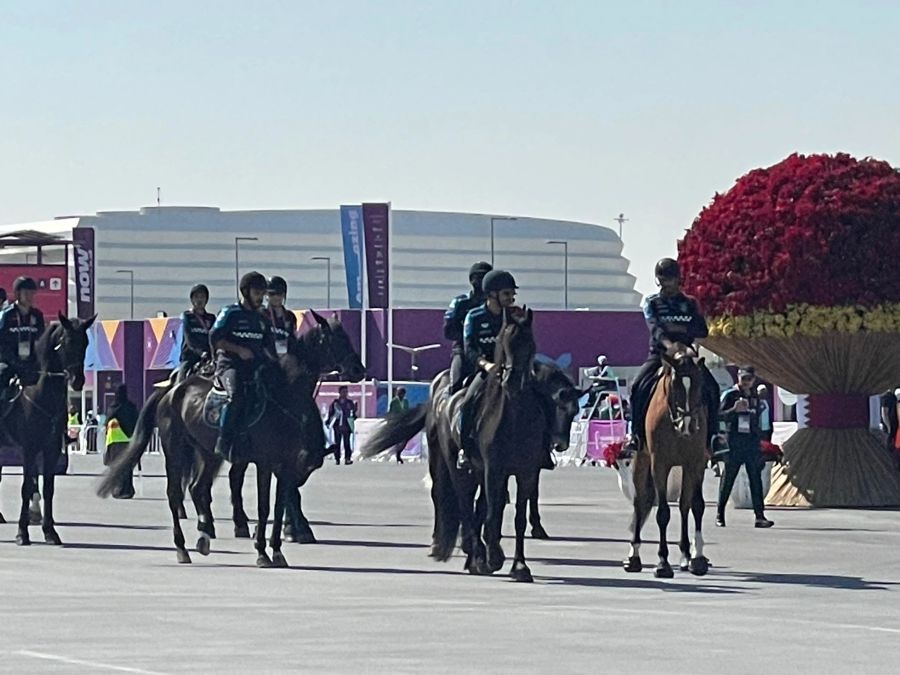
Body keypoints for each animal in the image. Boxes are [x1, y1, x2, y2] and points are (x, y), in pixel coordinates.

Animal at [1, 318, 94, 548]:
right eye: (67, 341)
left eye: (85, 342)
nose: (78, 380)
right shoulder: (29, 448)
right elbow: (27, 487)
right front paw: (22, 533)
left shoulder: (51, 449)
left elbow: (48, 489)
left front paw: (50, 532)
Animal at [624, 346, 712, 580]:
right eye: (675, 385)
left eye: (699, 384)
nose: (687, 425)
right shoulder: (660, 464)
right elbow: (663, 513)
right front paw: (662, 563)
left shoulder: (696, 462)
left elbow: (696, 505)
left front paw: (698, 558)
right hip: (642, 461)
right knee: (639, 501)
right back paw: (634, 556)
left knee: (684, 505)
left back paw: (685, 556)